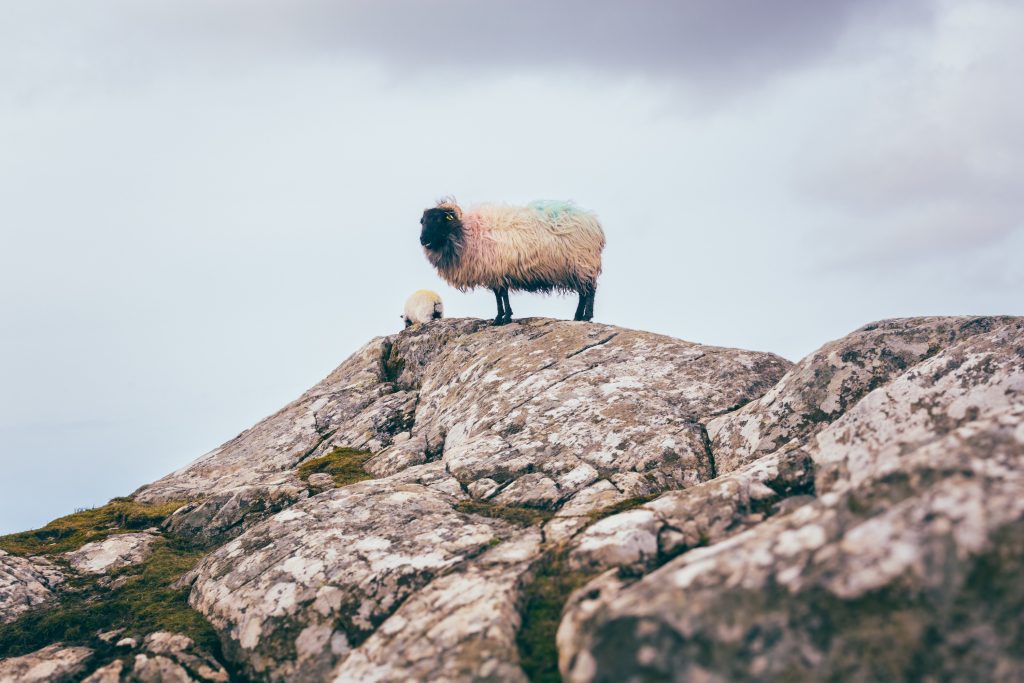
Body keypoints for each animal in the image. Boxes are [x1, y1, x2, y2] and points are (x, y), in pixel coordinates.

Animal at [418, 198, 605, 324]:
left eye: (437, 219)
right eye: (422, 221)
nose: (423, 240)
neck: (466, 234)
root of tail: (594, 224)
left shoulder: (498, 270)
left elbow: (502, 294)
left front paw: (504, 318)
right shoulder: (495, 272)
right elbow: (498, 295)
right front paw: (499, 317)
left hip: (583, 263)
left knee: (589, 290)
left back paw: (586, 316)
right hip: (576, 268)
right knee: (583, 292)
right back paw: (577, 317)